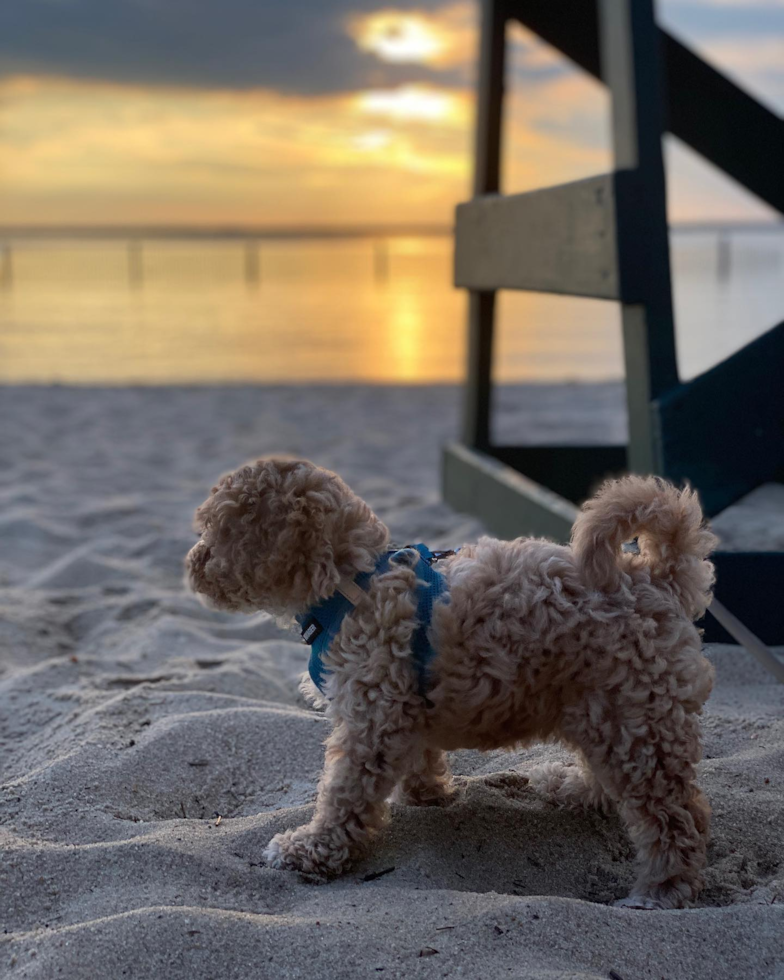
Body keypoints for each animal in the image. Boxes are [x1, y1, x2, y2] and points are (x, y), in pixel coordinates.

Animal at [185, 460, 716, 912]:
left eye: (213, 530)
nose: (191, 563)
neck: (353, 582)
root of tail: (655, 576)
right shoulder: (402, 703)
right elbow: (417, 755)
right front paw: (426, 792)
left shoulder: (370, 718)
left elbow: (344, 791)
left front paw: (312, 848)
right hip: (604, 706)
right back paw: (573, 788)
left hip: (636, 716)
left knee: (675, 815)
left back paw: (661, 890)